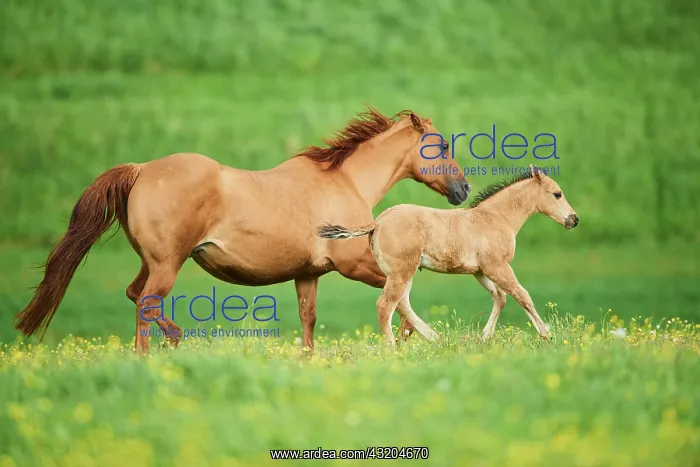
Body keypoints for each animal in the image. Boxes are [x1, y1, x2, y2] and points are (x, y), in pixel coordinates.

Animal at [14, 107, 472, 354]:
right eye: (441, 146)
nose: (464, 190)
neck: (345, 182)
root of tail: (141, 170)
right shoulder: (353, 264)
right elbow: (400, 298)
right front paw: (413, 338)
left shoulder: (308, 274)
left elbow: (308, 320)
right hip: (167, 264)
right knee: (145, 302)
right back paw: (154, 352)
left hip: (152, 261)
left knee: (135, 295)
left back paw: (172, 341)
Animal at [317, 165, 579, 345]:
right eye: (557, 194)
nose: (574, 219)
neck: (495, 218)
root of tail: (377, 222)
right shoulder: (497, 266)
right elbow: (521, 295)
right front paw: (546, 334)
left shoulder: (480, 271)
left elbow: (500, 297)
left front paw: (485, 337)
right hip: (402, 272)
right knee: (386, 305)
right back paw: (393, 348)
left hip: (403, 273)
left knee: (402, 303)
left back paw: (435, 338)